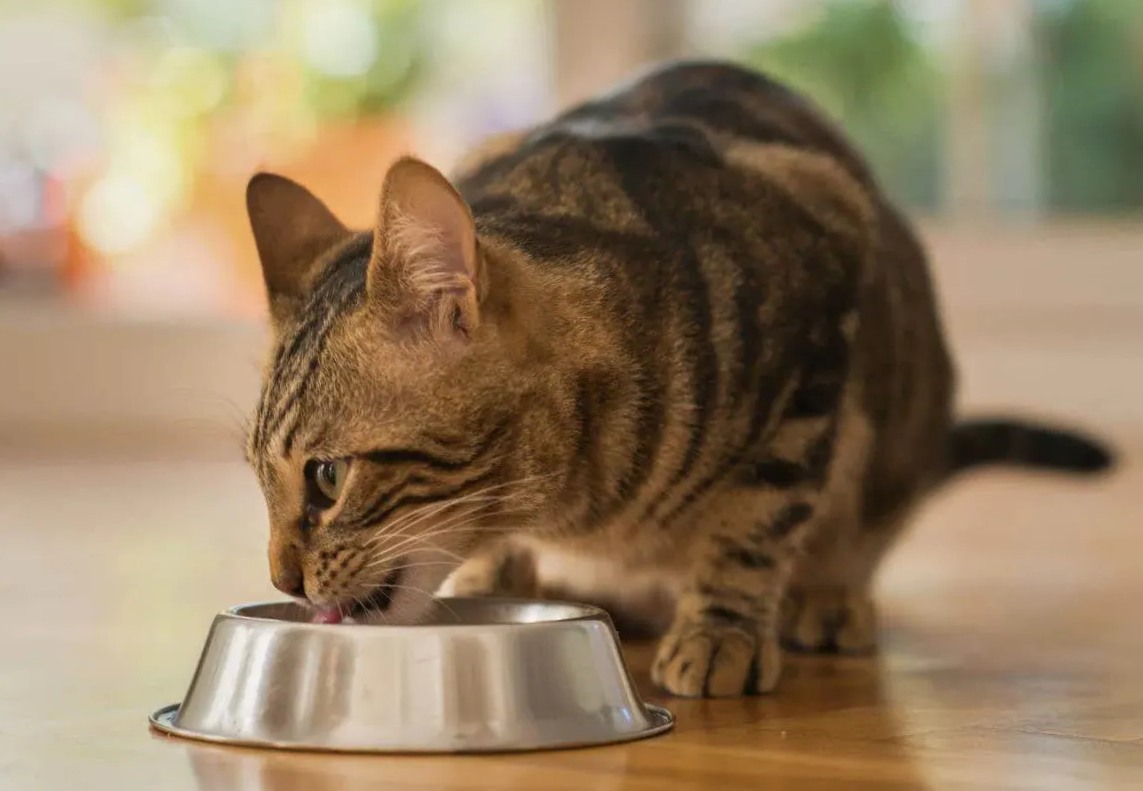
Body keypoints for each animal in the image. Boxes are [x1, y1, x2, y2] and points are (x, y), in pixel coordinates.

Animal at [245, 61, 1110, 699]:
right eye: (260, 477)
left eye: (327, 477)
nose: (281, 577)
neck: (576, 503)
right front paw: (498, 573)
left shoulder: (817, 320)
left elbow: (756, 519)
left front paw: (723, 629)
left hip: (896, 418)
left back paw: (822, 597)